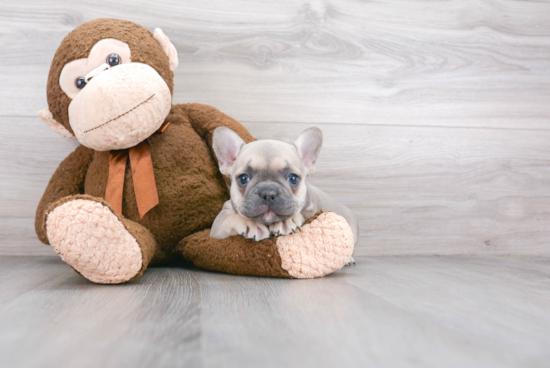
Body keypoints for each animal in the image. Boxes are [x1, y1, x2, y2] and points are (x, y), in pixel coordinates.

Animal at [209, 126, 360, 244]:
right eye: (243, 178)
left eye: (293, 178)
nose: (268, 193)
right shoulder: (218, 225)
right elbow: (227, 217)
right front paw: (251, 224)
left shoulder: (312, 209)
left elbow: (302, 213)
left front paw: (285, 222)